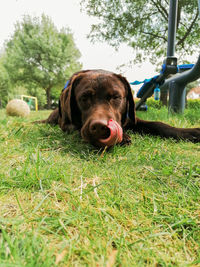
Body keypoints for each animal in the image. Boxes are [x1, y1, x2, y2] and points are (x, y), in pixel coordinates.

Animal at [39, 70, 200, 148]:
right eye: (84, 98)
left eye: (116, 97)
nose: (99, 127)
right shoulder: (67, 124)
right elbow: (78, 128)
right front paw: (125, 137)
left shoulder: (131, 118)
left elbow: (158, 124)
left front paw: (190, 132)